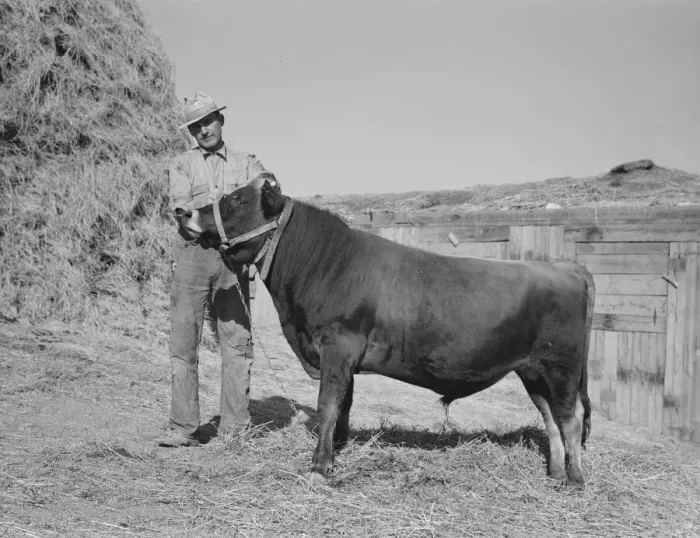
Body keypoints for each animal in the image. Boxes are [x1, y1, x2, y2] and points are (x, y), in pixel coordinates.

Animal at [178, 174, 595, 488]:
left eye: (235, 200)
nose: (182, 211)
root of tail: (567, 266)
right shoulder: (341, 357)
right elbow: (343, 406)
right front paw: (336, 451)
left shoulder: (337, 346)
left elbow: (328, 405)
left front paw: (319, 467)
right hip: (532, 370)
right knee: (551, 419)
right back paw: (555, 474)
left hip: (561, 366)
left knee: (570, 417)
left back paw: (575, 479)